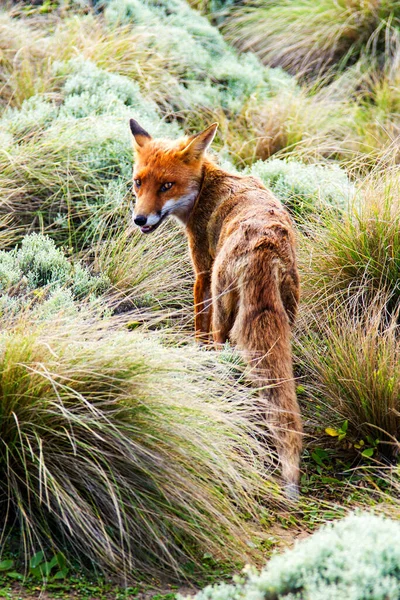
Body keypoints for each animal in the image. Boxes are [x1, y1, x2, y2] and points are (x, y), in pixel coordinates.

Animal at [130, 118, 302, 496]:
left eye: (167, 185)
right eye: (138, 183)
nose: (139, 219)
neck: (207, 188)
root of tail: (265, 246)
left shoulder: (202, 272)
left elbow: (198, 328)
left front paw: (194, 355)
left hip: (224, 304)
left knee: (220, 343)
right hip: (287, 312)